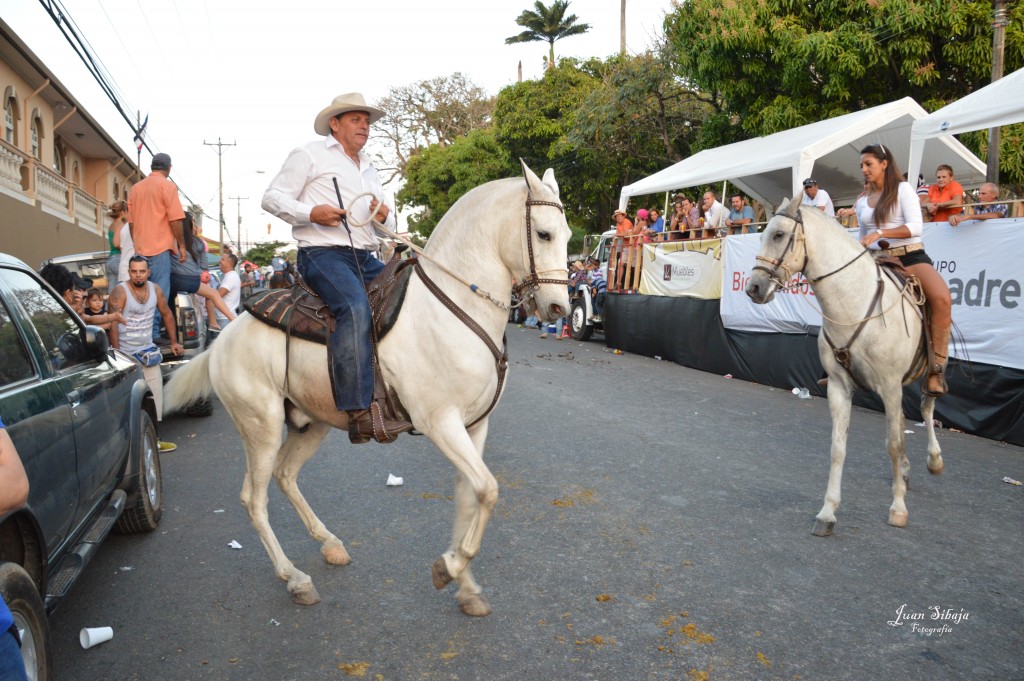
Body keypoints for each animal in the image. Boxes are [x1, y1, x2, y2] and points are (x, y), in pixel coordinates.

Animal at [163, 161, 573, 614]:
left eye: (570, 235)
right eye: (544, 234)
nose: (559, 308)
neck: (452, 306)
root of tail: (222, 341)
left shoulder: (474, 426)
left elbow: (471, 496)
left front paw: (465, 587)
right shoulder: (440, 423)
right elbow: (488, 489)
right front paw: (448, 567)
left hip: (310, 422)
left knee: (286, 476)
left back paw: (329, 543)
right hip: (260, 426)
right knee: (254, 499)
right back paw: (295, 578)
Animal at [745, 196, 942, 536]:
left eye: (779, 235)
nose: (754, 287)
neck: (854, 302)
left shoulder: (889, 387)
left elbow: (894, 443)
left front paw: (898, 508)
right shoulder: (839, 387)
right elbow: (838, 448)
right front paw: (827, 513)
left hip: (930, 372)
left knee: (927, 408)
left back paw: (934, 460)